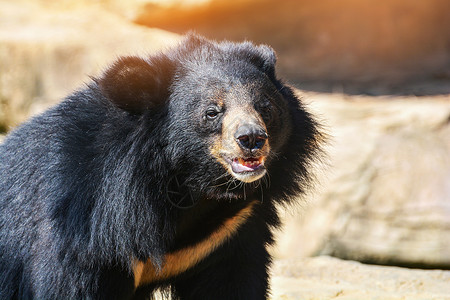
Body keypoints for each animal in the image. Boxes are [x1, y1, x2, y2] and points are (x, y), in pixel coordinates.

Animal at [0, 34, 324, 298]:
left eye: (265, 107)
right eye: (212, 112)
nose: (251, 139)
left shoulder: (228, 231)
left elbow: (232, 283)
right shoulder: (84, 229)